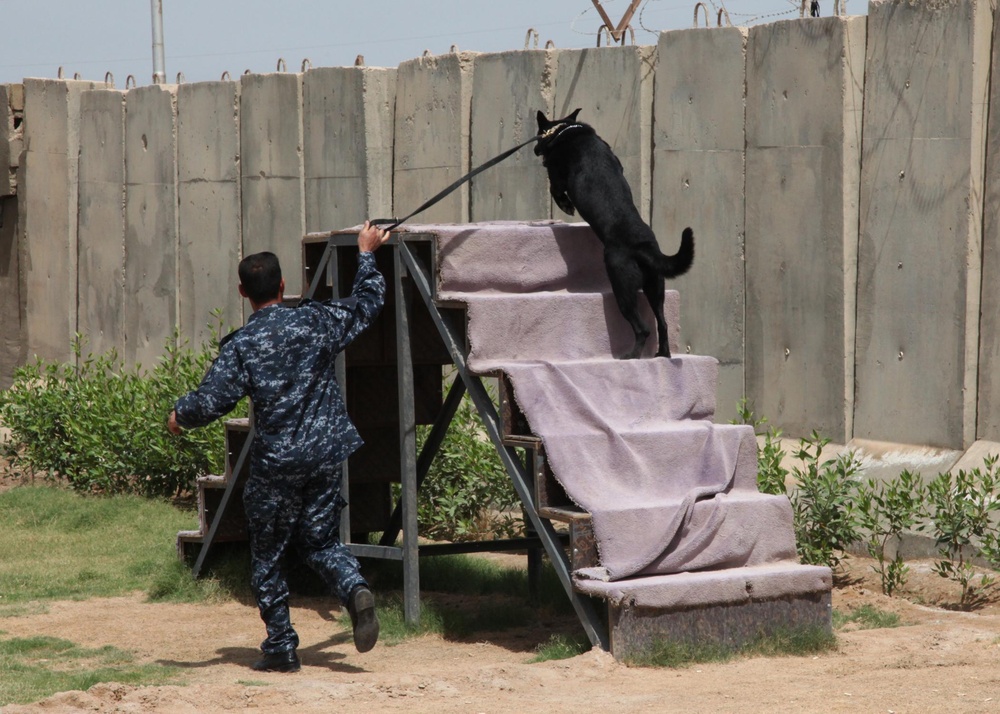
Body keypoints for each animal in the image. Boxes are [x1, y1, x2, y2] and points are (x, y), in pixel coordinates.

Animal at [532, 108, 696, 358]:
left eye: (539, 134)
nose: (534, 150)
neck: (568, 131)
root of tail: (643, 247)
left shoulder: (557, 176)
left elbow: (555, 190)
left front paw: (566, 206)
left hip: (622, 286)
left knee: (643, 328)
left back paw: (631, 356)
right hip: (655, 287)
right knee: (663, 323)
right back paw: (662, 354)